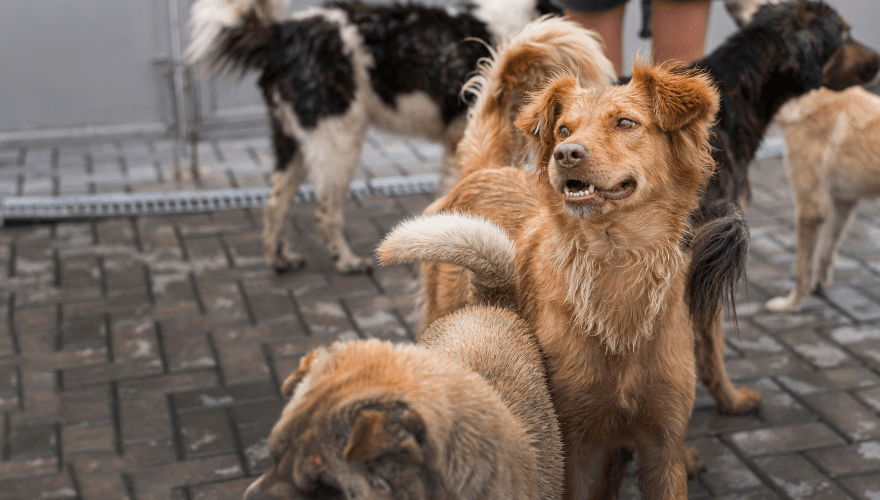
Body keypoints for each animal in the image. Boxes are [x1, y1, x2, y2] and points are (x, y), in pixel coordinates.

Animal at [186, 0, 612, 274]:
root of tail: (282, 34)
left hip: (293, 142)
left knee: (276, 203)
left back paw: (280, 259)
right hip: (338, 139)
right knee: (326, 210)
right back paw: (347, 261)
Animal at [764, 86, 880, 312]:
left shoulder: (810, 208)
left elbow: (802, 269)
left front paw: (791, 305)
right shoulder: (843, 202)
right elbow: (826, 251)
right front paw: (818, 285)